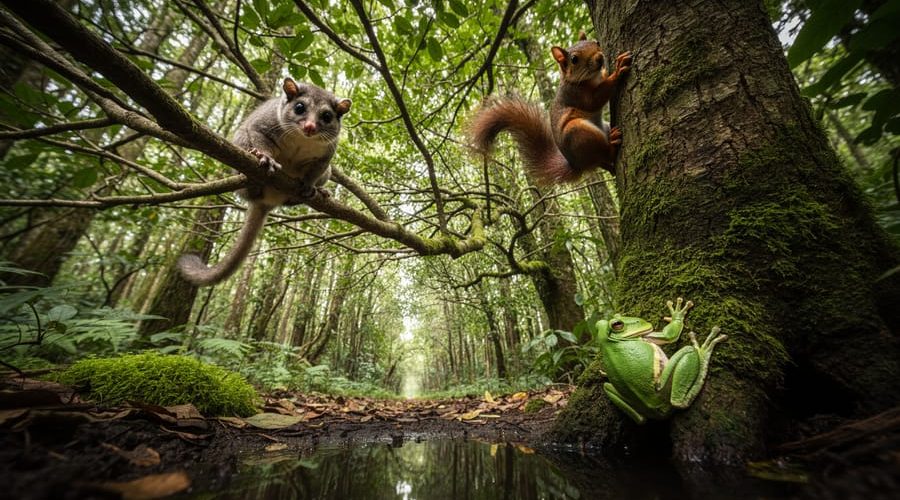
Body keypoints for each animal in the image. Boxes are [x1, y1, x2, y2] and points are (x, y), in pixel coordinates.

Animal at [178, 78, 351, 286]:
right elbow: (258, 135)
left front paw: (309, 186)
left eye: (326, 116)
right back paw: (253, 176)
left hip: (326, 174)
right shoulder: (265, 123)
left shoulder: (326, 154)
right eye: (299, 107)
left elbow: (317, 168)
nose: (310, 127)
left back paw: (319, 192)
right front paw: (266, 158)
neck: (302, 138)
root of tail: (267, 200)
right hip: (241, 147)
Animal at [469, 32, 632, 185]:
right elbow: (595, 100)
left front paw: (606, 71)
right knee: (604, 154)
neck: (590, 78)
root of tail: (578, 165)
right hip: (578, 134)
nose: (600, 58)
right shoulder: (574, 94)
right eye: (574, 59)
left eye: (596, 43)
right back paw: (612, 144)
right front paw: (617, 70)